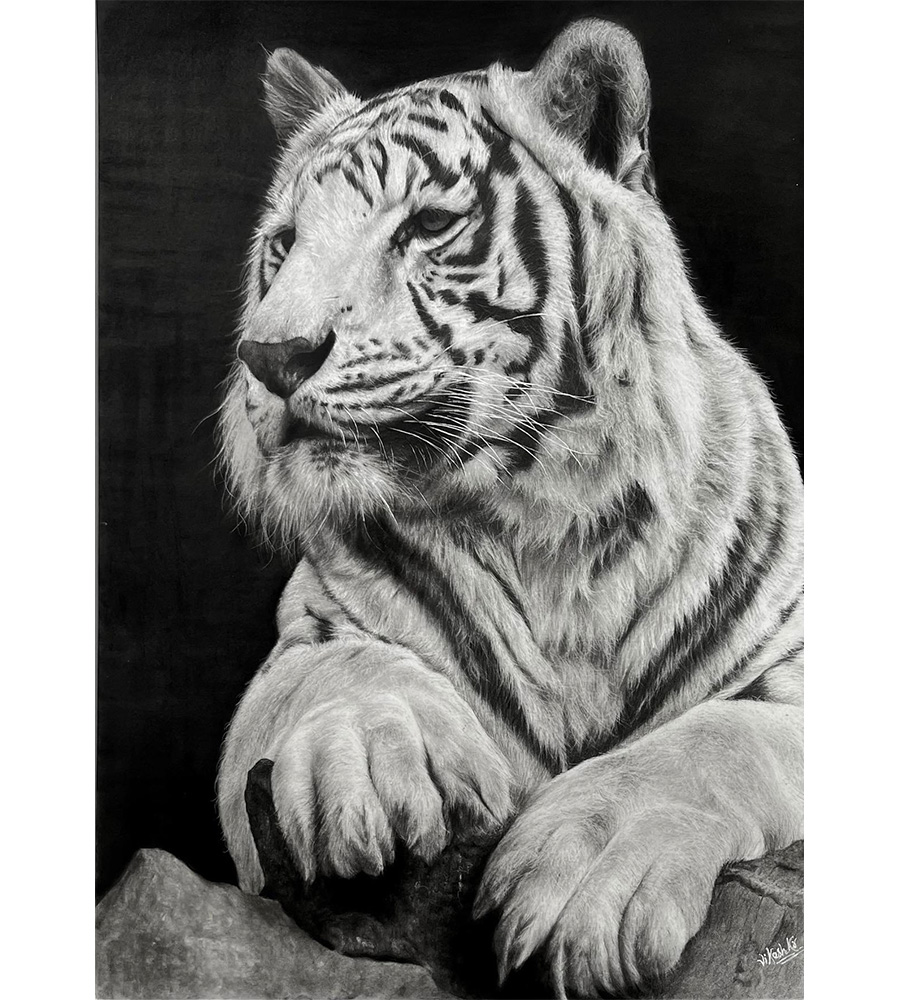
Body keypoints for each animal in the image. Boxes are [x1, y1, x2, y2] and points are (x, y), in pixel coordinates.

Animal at [217, 19, 803, 999]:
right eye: (285, 243)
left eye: (425, 226)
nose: (274, 355)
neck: (545, 518)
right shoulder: (309, 636)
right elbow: (335, 669)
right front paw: (379, 757)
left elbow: (717, 739)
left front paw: (585, 881)